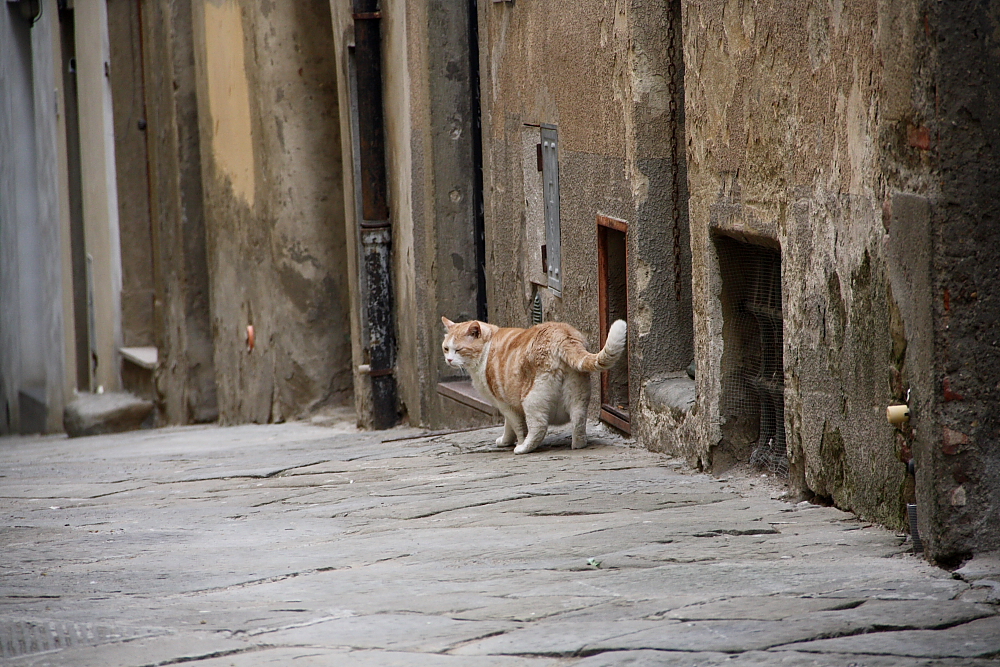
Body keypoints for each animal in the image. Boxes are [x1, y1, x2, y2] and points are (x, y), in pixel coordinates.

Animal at [440, 318, 624, 454]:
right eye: (446, 349)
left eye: (459, 350)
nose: (448, 360)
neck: (486, 348)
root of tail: (562, 334)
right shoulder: (509, 405)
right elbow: (509, 426)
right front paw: (506, 441)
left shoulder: (505, 404)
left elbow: (517, 427)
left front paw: (515, 443)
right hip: (578, 395)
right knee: (578, 421)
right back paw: (578, 445)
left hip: (531, 399)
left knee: (539, 427)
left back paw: (524, 448)